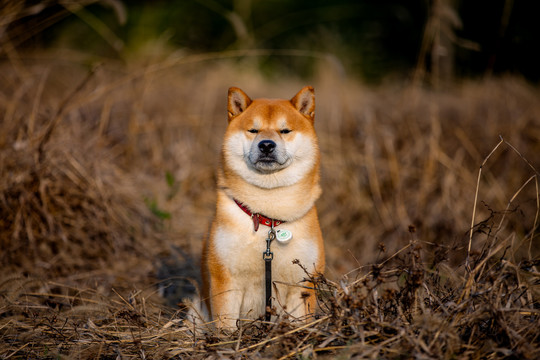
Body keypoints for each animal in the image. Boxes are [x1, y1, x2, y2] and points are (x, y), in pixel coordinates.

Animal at [200, 86, 322, 330]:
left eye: (285, 130)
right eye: (253, 130)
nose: (266, 144)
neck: (269, 217)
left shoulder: (302, 284)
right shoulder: (225, 280)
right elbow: (225, 326)